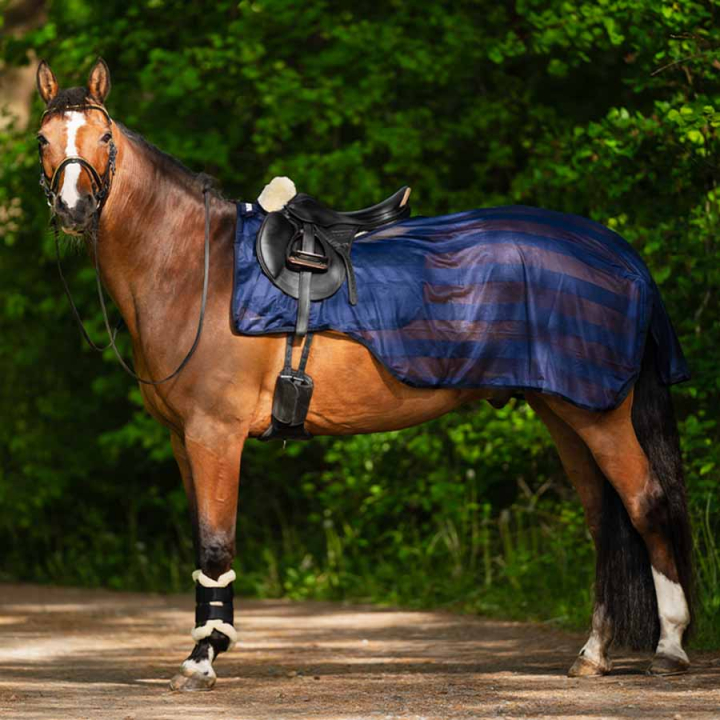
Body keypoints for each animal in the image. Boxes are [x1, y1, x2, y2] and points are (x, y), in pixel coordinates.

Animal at [35, 58, 693, 691]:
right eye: (42, 139)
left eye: (103, 136)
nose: (73, 211)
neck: (195, 267)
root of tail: (622, 256)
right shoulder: (183, 440)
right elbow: (205, 546)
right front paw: (208, 647)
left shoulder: (214, 436)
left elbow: (216, 546)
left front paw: (202, 661)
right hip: (562, 412)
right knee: (604, 522)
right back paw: (594, 654)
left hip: (599, 415)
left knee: (646, 505)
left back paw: (670, 648)